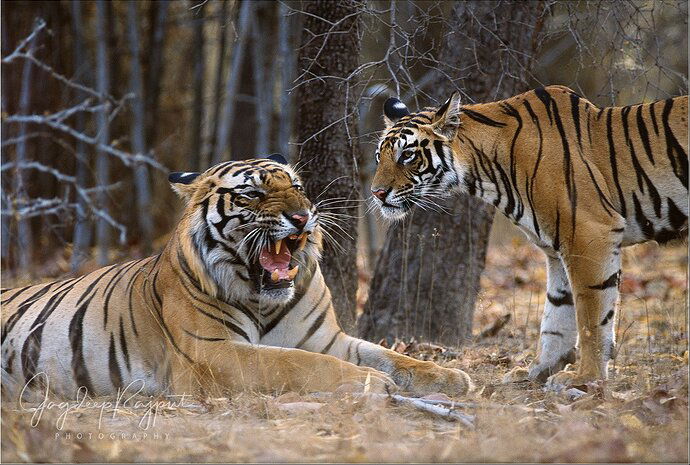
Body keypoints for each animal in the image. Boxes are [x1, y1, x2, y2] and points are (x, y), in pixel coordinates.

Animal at [1, 153, 472, 398]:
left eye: (297, 187)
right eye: (253, 193)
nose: (302, 217)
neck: (264, 298)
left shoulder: (327, 339)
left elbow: (390, 355)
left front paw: (449, 376)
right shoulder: (214, 351)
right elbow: (295, 363)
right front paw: (368, 383)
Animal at [368, 84, 684, 388]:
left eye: (407, 155)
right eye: (379, 157)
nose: (377, 193)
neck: (486, 171)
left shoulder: (588, 232)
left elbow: (591, 316)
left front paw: (586, 378)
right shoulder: (558, 248)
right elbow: (556, 314)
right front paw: (538, 371)